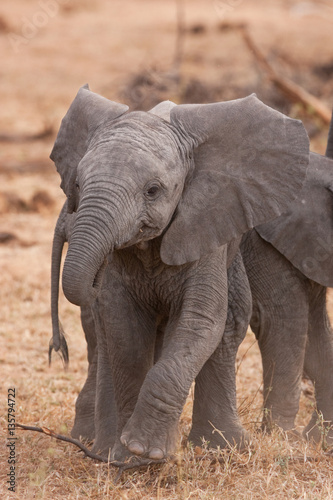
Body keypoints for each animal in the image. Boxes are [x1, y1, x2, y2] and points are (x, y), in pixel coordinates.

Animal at [48, 86, 306, 460]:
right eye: (78, 185)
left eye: (153, 190)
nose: (97, 272)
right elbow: (122, 327)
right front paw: (129, 457)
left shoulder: (205, 226)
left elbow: (200, 320)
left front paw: (145, 450)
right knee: (101, 335)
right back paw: (99, 445)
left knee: (230, 323)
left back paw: (222, 447)